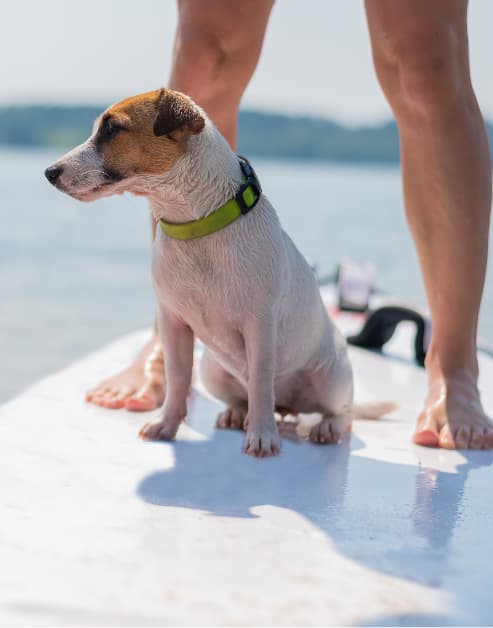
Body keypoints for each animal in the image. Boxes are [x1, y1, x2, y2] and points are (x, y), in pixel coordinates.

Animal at [45, 88, 392, 458]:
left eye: (112, 129)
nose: (50, 172)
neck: (197, 227)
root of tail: (288, 406)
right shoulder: (173, 324)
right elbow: (178, 378)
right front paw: (167, 424)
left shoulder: (260, 327)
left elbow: (261, 383)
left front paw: (262, 436)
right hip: (213, 370)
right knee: (244, 397)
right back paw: (236, 414)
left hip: (331, 379)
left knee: (341, 412)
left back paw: (323, 427)